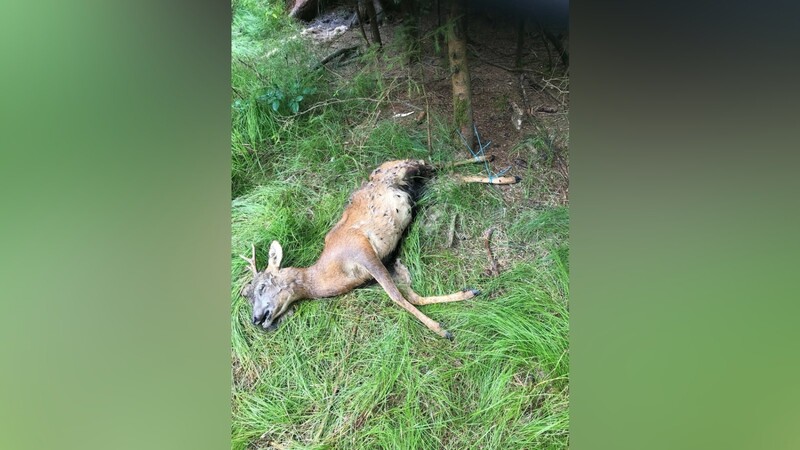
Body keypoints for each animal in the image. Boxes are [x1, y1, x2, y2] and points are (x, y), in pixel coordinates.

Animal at [238, 156, 520, 340]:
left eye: (262, 286)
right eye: (247, 295)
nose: (256, 319)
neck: (336, 273)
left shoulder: (363, 250)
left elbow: (397, 298)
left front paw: (441, 330)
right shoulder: (388, 262)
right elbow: (412, 296)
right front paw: (468, 292)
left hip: (405, 168)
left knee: (439, 163)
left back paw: (505, 172)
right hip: (420, 187)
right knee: (447, 172)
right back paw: (498, 169)